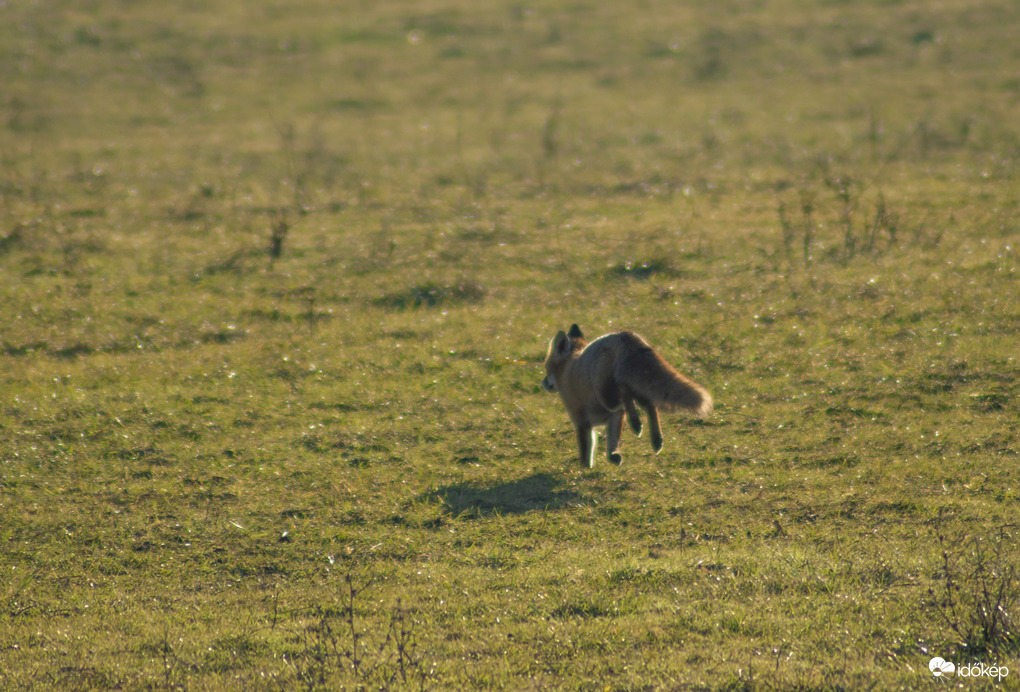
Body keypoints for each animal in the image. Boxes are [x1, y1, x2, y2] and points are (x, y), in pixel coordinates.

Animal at [538, 326, 714, 471]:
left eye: (546, 367)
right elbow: (613, 440)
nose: (543, 383)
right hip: (636, 384)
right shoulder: (614, 416)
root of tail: (622, 335)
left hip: (606, 394)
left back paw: (637, 424)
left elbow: (586, 446)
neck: (568, 368)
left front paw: (585, 468)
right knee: (649, 403)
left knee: (624, 392)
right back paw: (656, 438)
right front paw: (613, 455)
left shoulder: (581, 420)